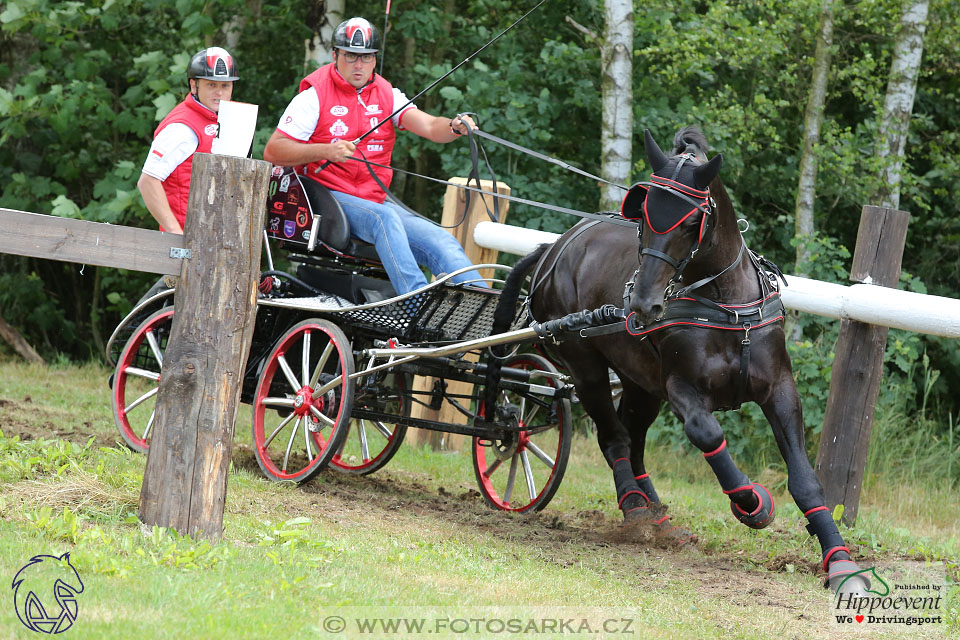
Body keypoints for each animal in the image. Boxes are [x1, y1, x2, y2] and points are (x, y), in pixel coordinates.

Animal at [492, 127, 868, 592]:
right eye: (643, 214)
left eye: (691, 221)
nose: (643, 305)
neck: (725, 305)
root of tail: (554, 247)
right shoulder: (681, 388)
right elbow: (706, 434)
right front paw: (751, 502)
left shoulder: (780, 389)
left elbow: (805, 480)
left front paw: (840, 563)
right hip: (586, 367)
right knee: (614, 437)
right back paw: (636, 508)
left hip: (640, 381)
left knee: (632, 439)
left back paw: (657, 516)